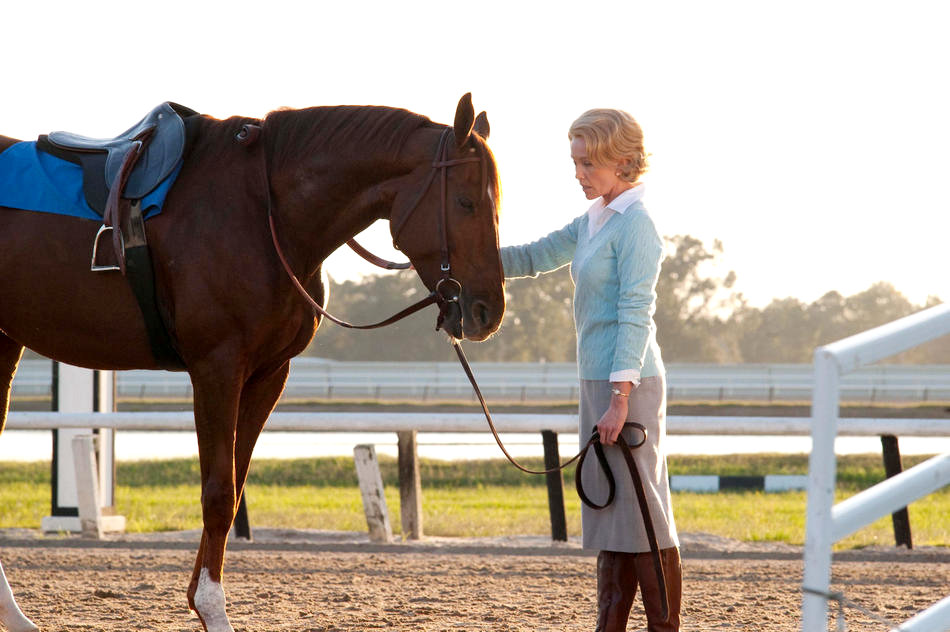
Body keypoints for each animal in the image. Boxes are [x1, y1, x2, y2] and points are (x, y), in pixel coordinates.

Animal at [0, 94, 506, 632]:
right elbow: (218, 493)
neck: (264, 215)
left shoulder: (268, 375)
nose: (488, 312)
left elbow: (235, 487)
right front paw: (211, 608)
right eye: (466, 202)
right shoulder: (217, 370)